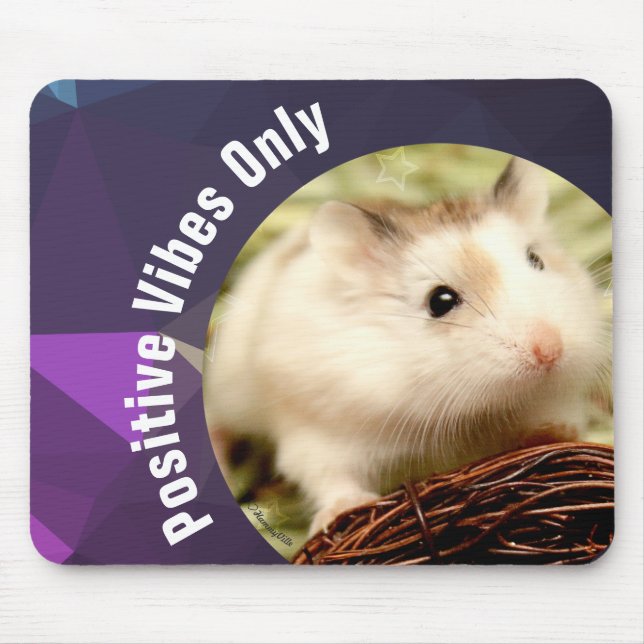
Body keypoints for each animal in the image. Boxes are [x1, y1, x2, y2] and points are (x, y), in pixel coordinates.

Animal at [203, 157, 610, 535]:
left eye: (536, 260)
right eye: (439, 301)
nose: (550, 351)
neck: (472, 411)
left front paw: (557, 434)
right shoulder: (319, 434)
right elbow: (330, 478)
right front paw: (341, 512)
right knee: (219, 422)